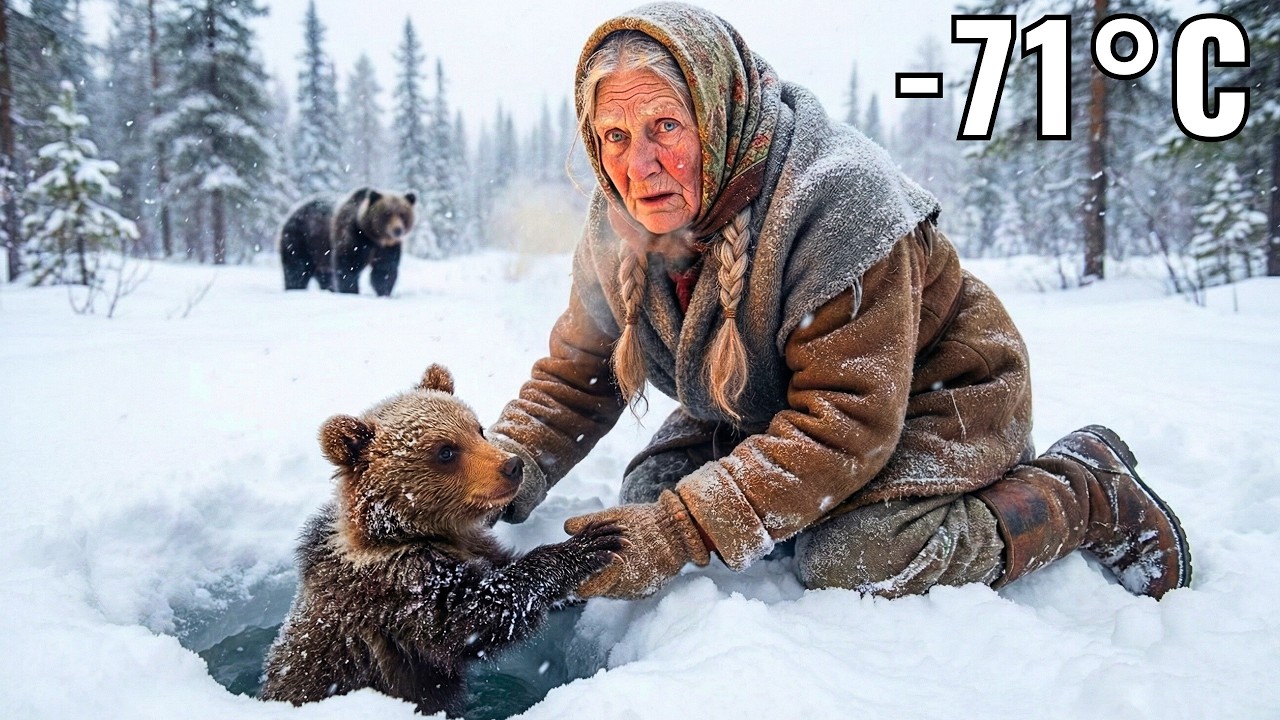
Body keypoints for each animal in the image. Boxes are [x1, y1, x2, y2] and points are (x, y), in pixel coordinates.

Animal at [258, 364, 622, 717]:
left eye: (477, 429)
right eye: (445, 451)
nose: (512, 465)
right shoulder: (401, 588)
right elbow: (477, 614)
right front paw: (590, 544)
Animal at [279, 188, 416, 296]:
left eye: (402, 214)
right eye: (387, 213)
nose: (397, 230)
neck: (372, 236)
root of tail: (292, 212)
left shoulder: (387, 248)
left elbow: (384, 269)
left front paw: (384, 292)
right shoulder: (352, 236)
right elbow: (348, 265)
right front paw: (351, 291)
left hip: (319, 253)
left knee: (324, 275)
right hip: (301, 239)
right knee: (297, 268)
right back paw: (295, 288)